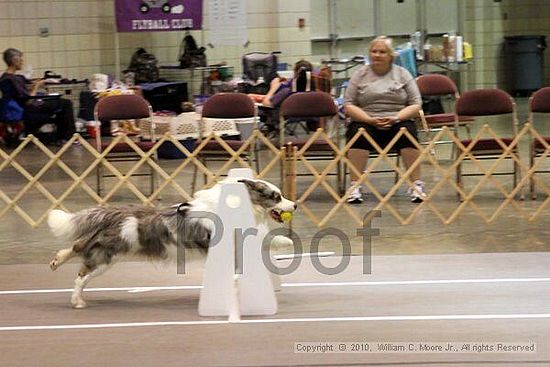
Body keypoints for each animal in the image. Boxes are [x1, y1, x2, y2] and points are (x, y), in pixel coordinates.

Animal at [48, 178, 298, 308]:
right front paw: (286, 241)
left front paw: (283, 241)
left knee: (76, 247)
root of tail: (113, 213)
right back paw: (76, 301)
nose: (294, 205)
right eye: (276, 196)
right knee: (81, 276)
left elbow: (263, 240)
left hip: (102, 250)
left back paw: (56, 262)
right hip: (106, 259)